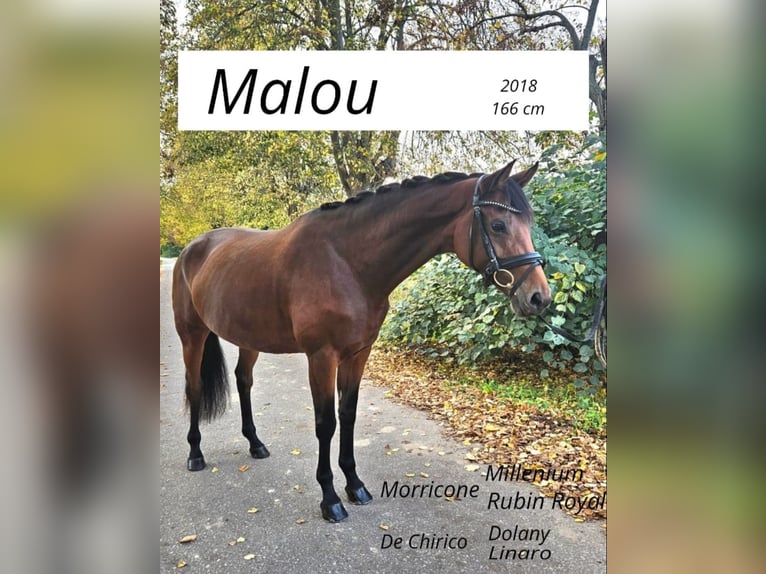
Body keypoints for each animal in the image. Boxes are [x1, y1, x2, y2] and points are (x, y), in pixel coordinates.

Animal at [172, 160, 551, 522]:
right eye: (499, 225)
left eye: (527, 224)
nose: (539, 297)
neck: (346, 262)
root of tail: (192, 248)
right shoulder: (321, 357)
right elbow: (326, 423)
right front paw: (330, 499)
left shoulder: (358, 354)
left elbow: (348, 415)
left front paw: (354, 485)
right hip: (192, 335)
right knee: (194, 387)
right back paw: (195, 453)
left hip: (249, 337)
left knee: (243, 381)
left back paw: (255, 444)